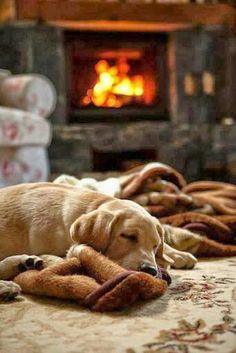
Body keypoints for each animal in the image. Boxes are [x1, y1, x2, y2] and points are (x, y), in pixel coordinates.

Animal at [0, 183, 197, 298]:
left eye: (155, 246)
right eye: (128, 236)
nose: (149, 270)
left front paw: (177, 254)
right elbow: (59, 257)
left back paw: (23, 263)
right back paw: (8, 283)